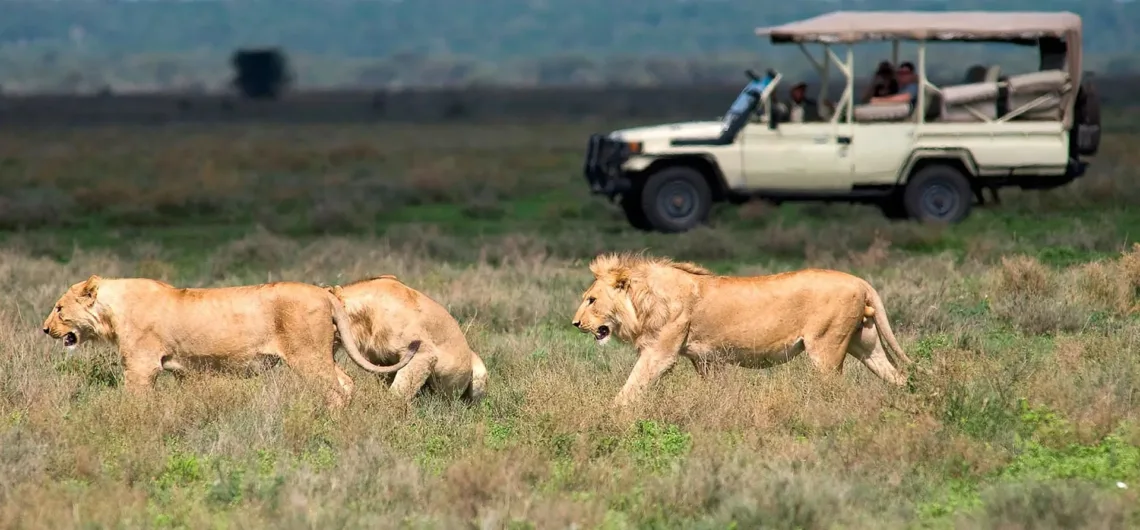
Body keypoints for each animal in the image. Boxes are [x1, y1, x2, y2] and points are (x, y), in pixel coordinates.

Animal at [43, 274, 424, 408]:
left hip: (306, 356)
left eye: (59, 308)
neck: (112, 310)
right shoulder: (184, 370)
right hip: (322, 354)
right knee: (345, 382)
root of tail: (327, 293)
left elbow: (135, 400)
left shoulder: (141, 366)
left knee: (338, 387)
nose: (45, 330)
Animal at [570, 251, 916, 405]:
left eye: (591, 299)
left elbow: (631, 385)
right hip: (865, 344)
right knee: (897, 375)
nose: (575, 323)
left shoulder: (660, 353)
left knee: (836, 388)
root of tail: (861, 281)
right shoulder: (706, 359)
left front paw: (611, 414)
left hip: (826, 348)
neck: (644, 301)